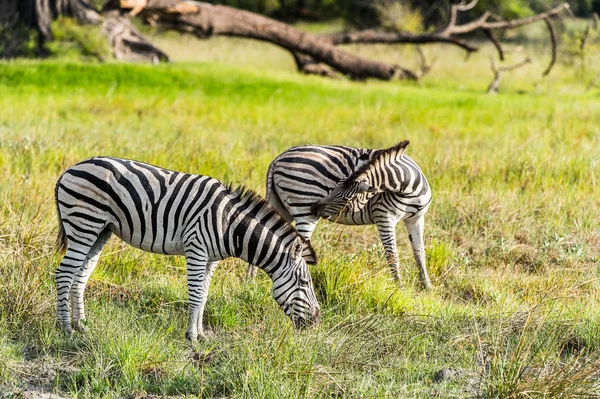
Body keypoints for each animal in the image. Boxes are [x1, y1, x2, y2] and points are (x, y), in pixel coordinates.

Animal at [54, 155, 322, 340]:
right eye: (305, 283)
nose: (317, 320)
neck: (230, 225)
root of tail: (70, 169)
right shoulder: (197, 249)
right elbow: (195, 295)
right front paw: (191, 337)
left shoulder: (212, 259)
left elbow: (204, 295)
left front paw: (201, 334)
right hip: (84, 223)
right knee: (64, 274)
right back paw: (65, 328)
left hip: (100, 231)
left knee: (80, 276)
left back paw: (82, 325)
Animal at [246, 141, 434, 290]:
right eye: (334, 187)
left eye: (346, 198)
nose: (315, 207)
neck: (409, 189)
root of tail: (278, 159)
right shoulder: (384, 216)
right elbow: (392, 254)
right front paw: (399, 287)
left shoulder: (416, 219)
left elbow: (419, 253)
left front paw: (426, 286)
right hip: (303, 210)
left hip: (280, 207)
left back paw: (251, 283)